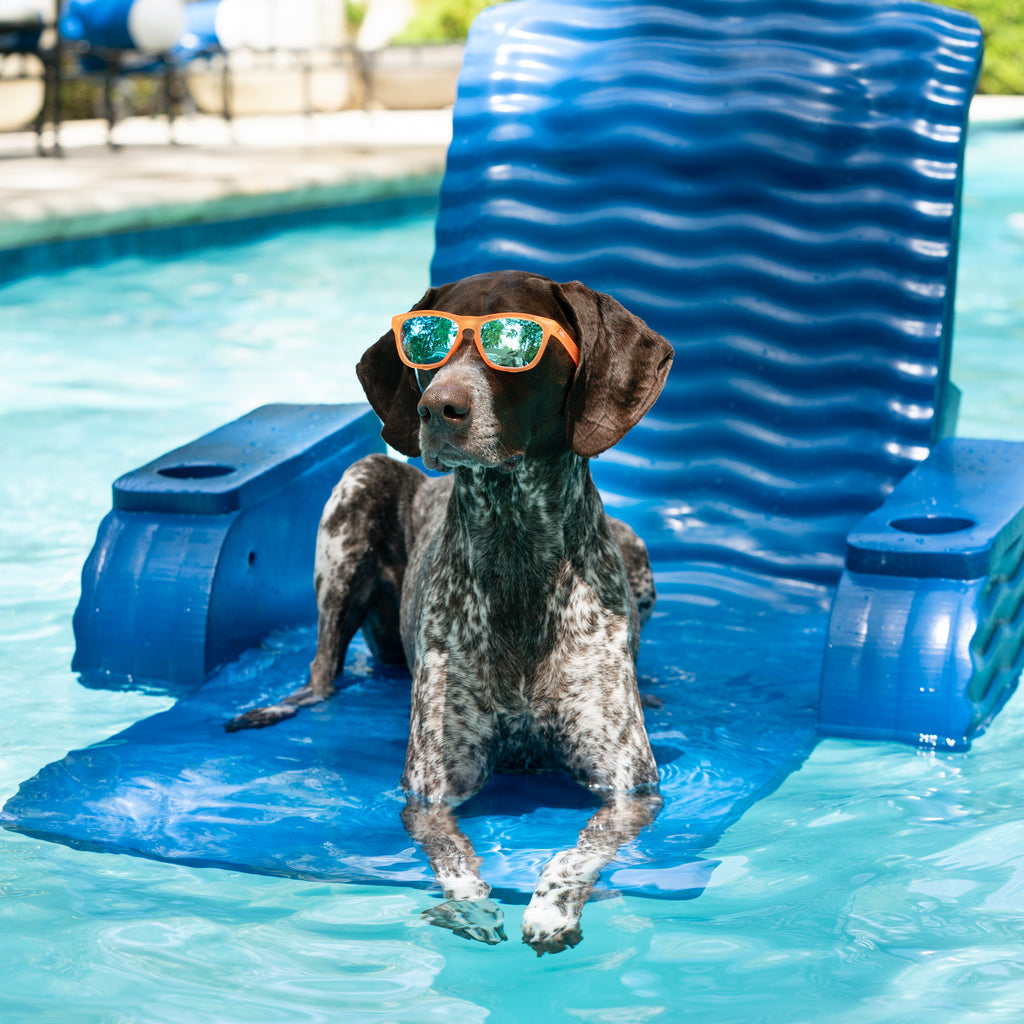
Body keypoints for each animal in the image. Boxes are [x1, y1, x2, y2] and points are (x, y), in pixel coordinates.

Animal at [226, 270, 671, 950]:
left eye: (517, 344)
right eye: (424, 344)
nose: (437, 407)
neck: (517, 547)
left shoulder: (630, 786)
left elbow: (582, 849)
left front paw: (552, 905)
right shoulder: (431, 790)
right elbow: (453, 856)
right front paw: (471, 904)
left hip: (636, 546)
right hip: (357, 485)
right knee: (322, 674)